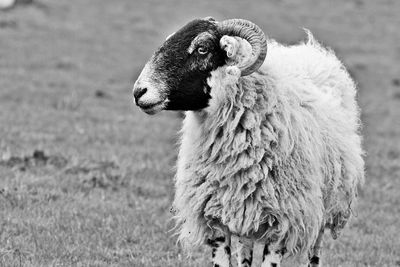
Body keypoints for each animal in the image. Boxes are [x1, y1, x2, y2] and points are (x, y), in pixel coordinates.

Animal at [133, 17, 364, 267]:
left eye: (202, 48)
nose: (139, 91)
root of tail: (311, 49)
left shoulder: (282, 221)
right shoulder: (215, 217)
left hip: (329, 200)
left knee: (316, 250)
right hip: (245, 210)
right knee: (245, 247)